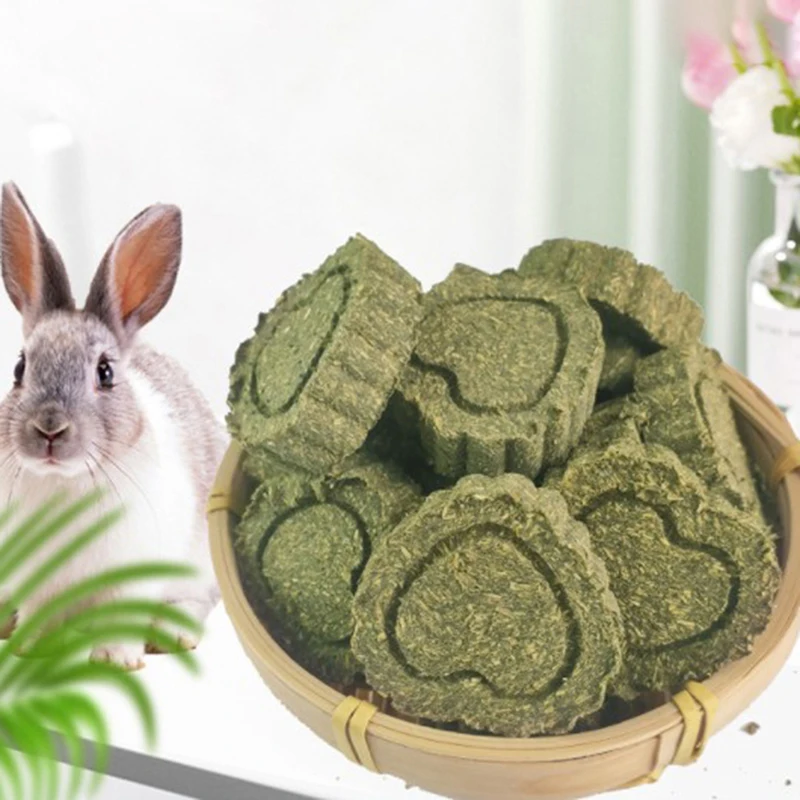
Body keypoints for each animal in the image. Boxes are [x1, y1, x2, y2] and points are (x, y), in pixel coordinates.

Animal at [0, 181, 226, 670]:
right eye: (20, 368)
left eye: (105, 372)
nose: (50, 429)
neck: (65, 482)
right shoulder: (35, 576)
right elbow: (39, 610)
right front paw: (30, 647)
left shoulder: (135, 569)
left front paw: (116, 659)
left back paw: (171, 635)